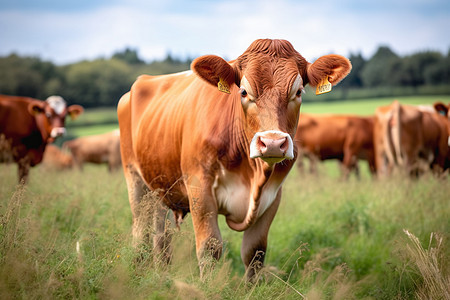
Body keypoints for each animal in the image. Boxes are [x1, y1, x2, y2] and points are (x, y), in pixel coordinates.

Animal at [118, 38, 354, 280]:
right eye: (243, 92)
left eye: (298, 92)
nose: (272, 143)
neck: (252, 173)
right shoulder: (199, 188)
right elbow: (209, 248)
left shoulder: (273, 195)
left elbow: (255, 253)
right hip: (134, 178)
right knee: (141, 233)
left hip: (159, 187)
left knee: (160, 236)